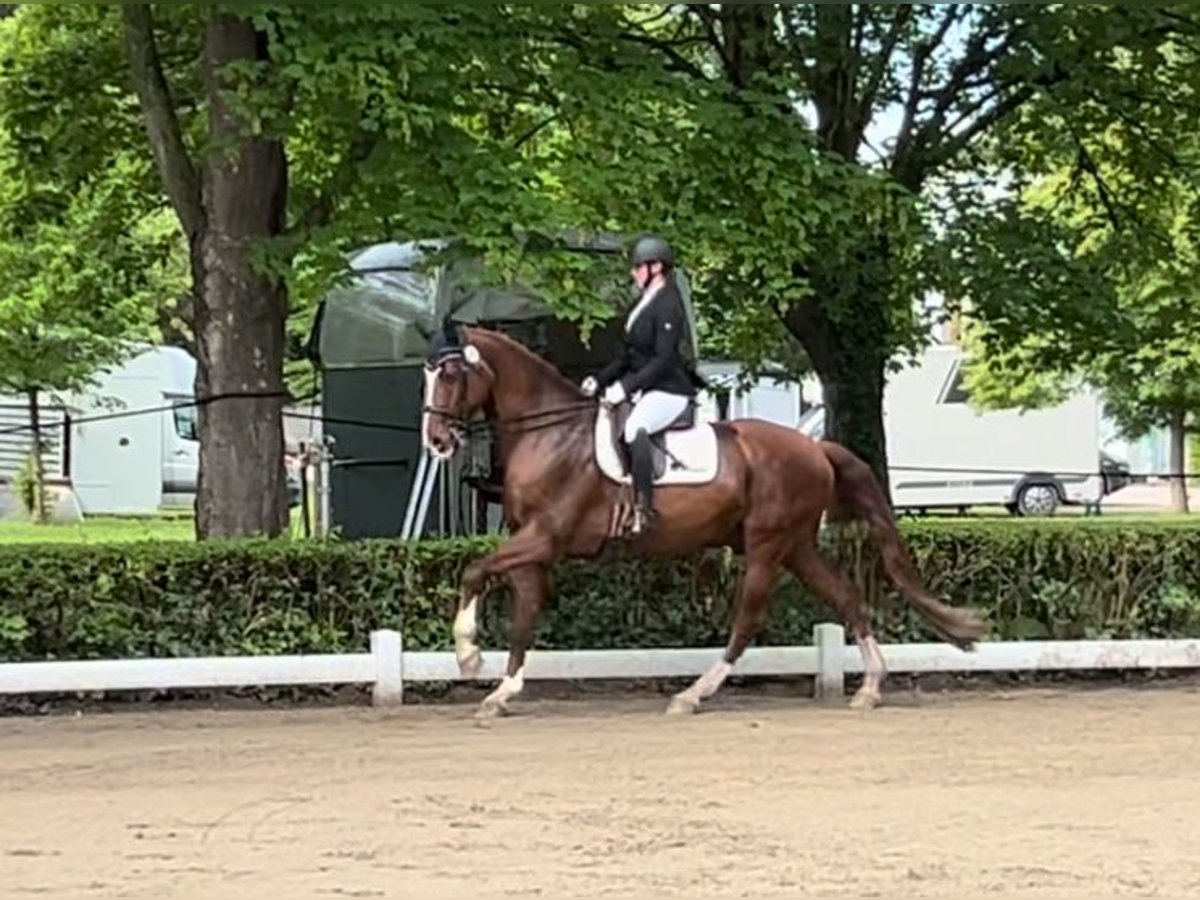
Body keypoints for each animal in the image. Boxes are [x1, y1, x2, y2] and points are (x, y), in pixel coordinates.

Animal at [422, 324, 984, 720]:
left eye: (448, 374)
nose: (437, 441)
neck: (550, 434)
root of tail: (815, 447)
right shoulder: (530, 544)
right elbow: (523, 611)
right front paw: (502, 690)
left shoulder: (545, 537)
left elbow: (473, 572)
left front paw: (469, 656)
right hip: (796, 546)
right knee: (845, 595)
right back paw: (869, 687)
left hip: (766, 545)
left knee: (748, 618)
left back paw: (693, 694)